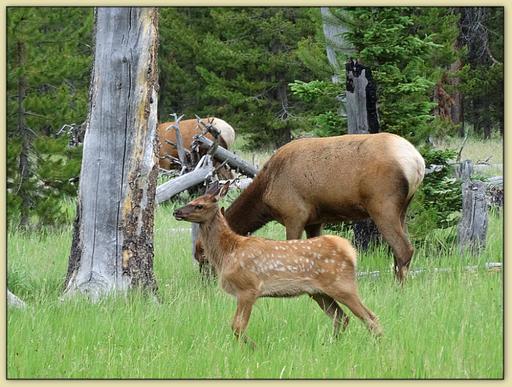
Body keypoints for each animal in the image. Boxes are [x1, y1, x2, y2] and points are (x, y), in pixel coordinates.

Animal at [174, 183, 382, 348]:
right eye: (193, 200)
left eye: (199, 205)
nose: (176, 212)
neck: (228, 252)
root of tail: (350, 250)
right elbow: (235, 326)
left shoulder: (248, 288)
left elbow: (237, 326)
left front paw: (253, 348)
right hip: (319, 293)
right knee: (342, 318)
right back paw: (330, 345)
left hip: (343, 285)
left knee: (371, 318)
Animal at [196, 133, 424, 282]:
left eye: (202, 253)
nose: (207, 281)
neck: (265, 193)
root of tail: (417, 162)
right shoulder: (315, 220)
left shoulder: (294, 214)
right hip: (403, 207)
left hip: (382, 205)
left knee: (404, 248)